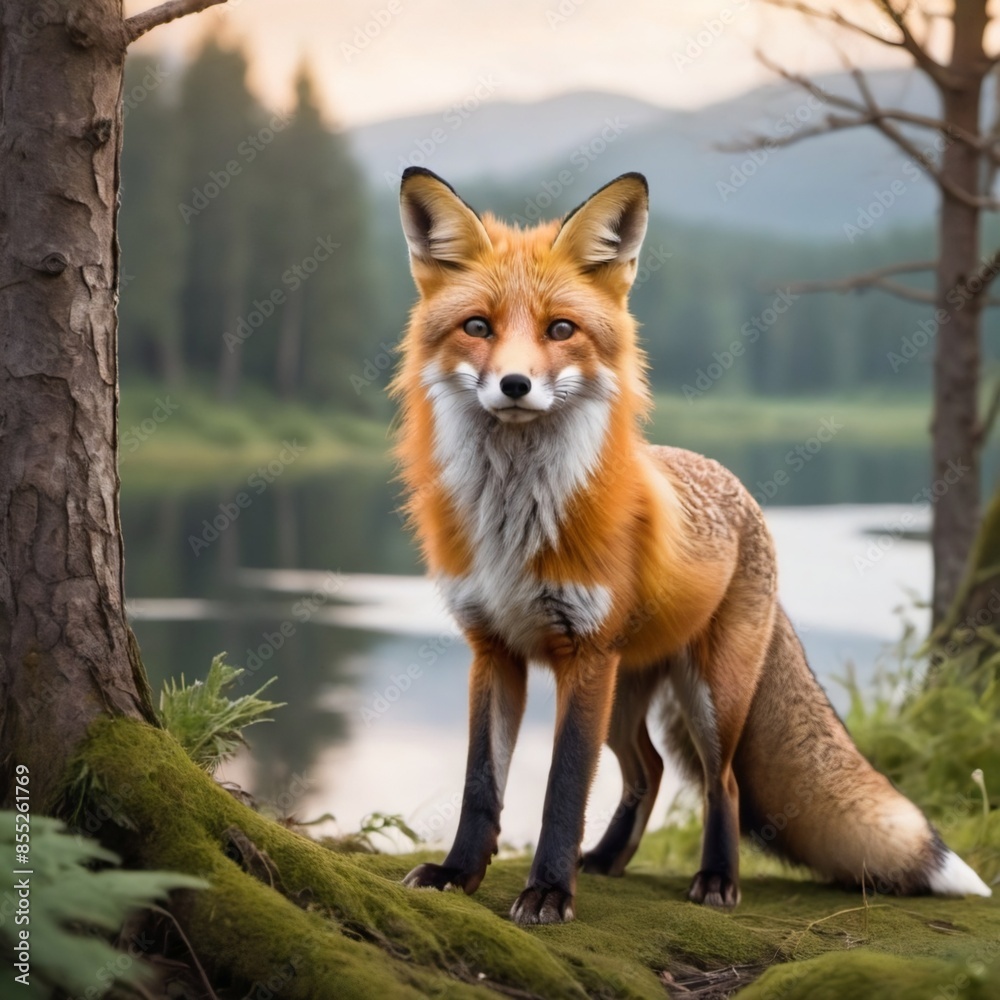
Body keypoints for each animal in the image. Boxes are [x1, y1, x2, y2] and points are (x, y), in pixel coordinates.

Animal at [391, 167, 992, 925]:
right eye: (477, 327)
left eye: (561, 329)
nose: (515, 385)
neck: (513, 523)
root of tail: (738, 489)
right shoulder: (494, 650)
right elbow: (480, 786)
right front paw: (458, 875)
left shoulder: (584, 654)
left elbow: (562, 790)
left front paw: (550, 891)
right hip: (625, 693)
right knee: (646, 771)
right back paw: (607, 860)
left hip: (707, 695)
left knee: (721, 783)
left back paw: (715, 880)